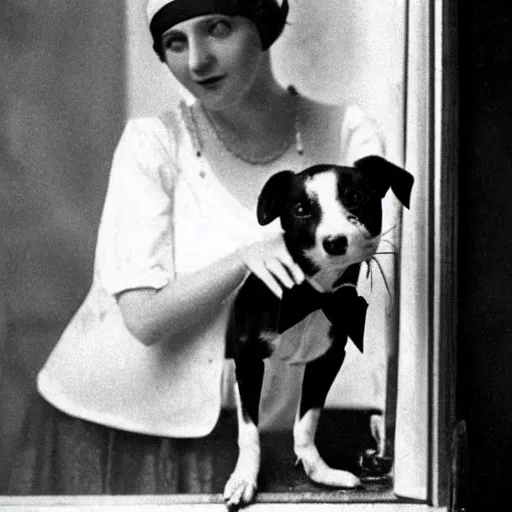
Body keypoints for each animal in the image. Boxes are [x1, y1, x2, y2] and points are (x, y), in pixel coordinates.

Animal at [223, 156, 412, 508]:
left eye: (355, 197)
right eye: (300, 209)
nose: (335, 241)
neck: (313, 294)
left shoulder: (327, 360)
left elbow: (306, 423)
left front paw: (319, 470)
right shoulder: (248, 359)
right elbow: (249, 430)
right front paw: (243, 479)